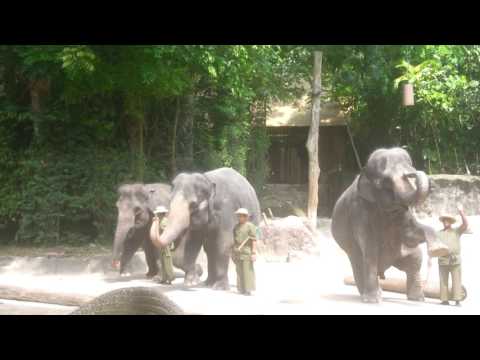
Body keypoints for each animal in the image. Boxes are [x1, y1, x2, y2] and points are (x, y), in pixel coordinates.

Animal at [332, 148, 448, 302]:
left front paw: (440, 249)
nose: (412, 173)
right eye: (386, 181)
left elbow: (410, 234)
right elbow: (370, 248)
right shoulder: (359, 211)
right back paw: (370, 296)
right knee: (360, 262)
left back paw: (417, 298)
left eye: (411, 170)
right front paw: (374, 301)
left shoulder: (404, 211)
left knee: (415, 260)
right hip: (349, 248)